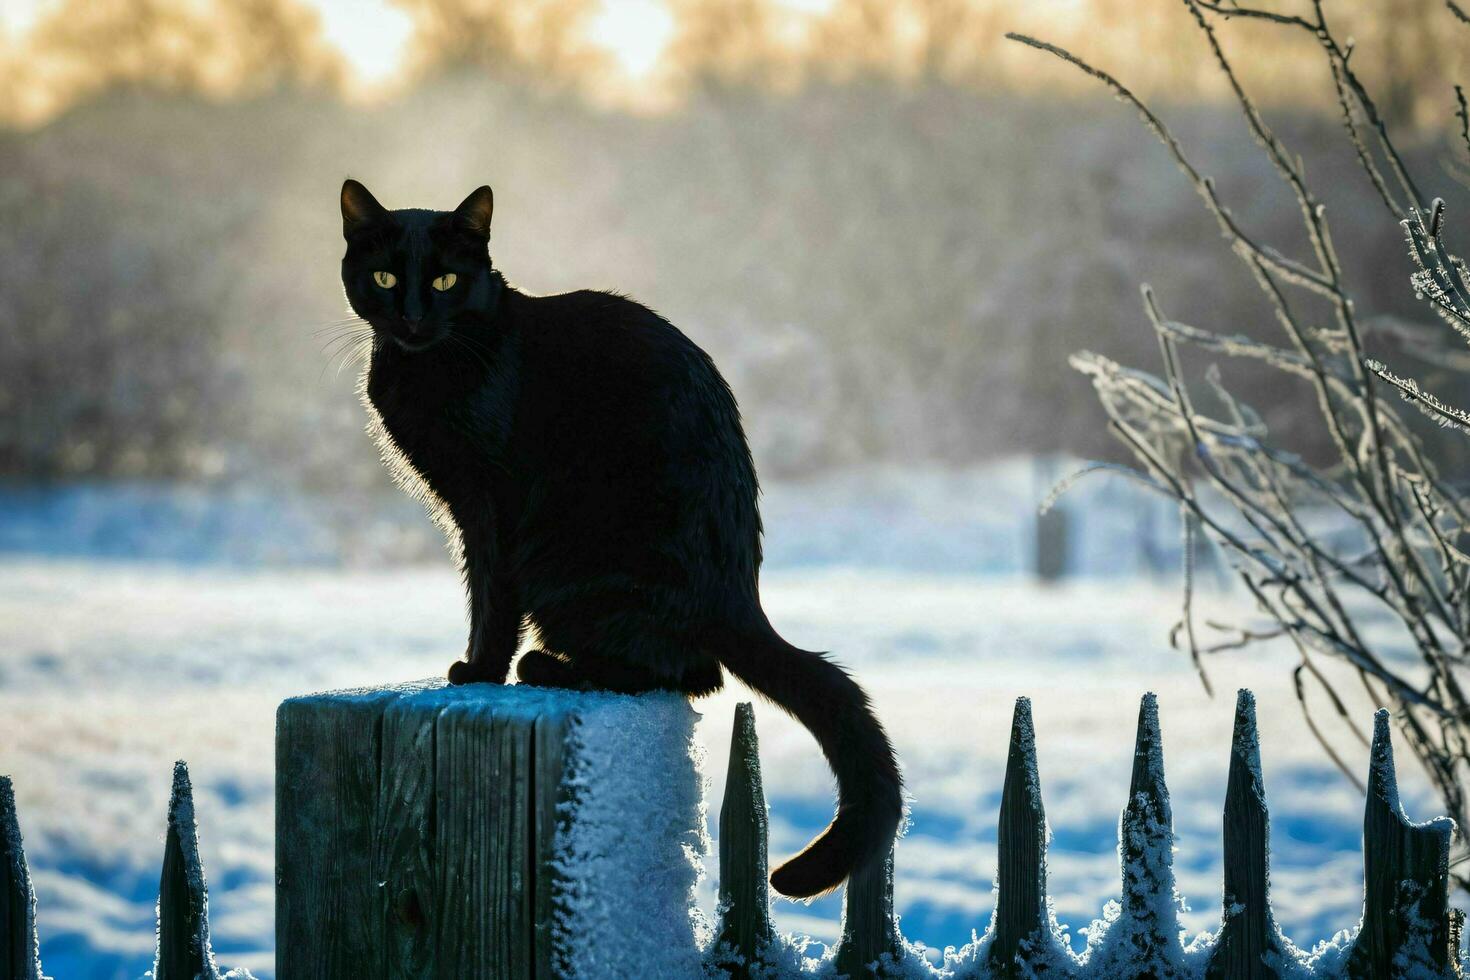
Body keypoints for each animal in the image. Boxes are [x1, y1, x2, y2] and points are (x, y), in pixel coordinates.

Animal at [338, 179, 899, 899]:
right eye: (384, 278)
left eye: (445, 280)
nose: (410, 319)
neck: (429, 365)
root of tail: (740, 597)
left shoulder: (490, 505)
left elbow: (490, 597)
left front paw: (479, 671)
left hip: (573, 566)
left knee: (686, 673)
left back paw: (548, 667)